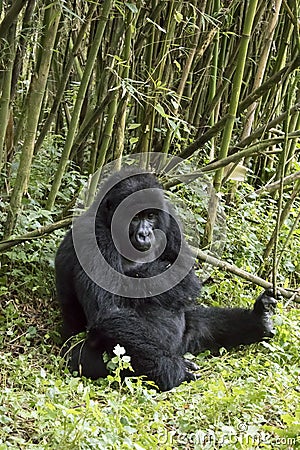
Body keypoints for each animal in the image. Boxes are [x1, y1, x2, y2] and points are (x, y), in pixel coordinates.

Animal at [55, 168, 276, 390]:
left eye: (150, 215)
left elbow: (185, 277)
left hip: (184, 342)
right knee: (89, 357)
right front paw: (175, 371)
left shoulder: (170, 221)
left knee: (201, 322)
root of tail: (179, 350)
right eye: (134, 217)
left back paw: (258, 320)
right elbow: (110, 312)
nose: (145, 234)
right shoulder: (93, 238)